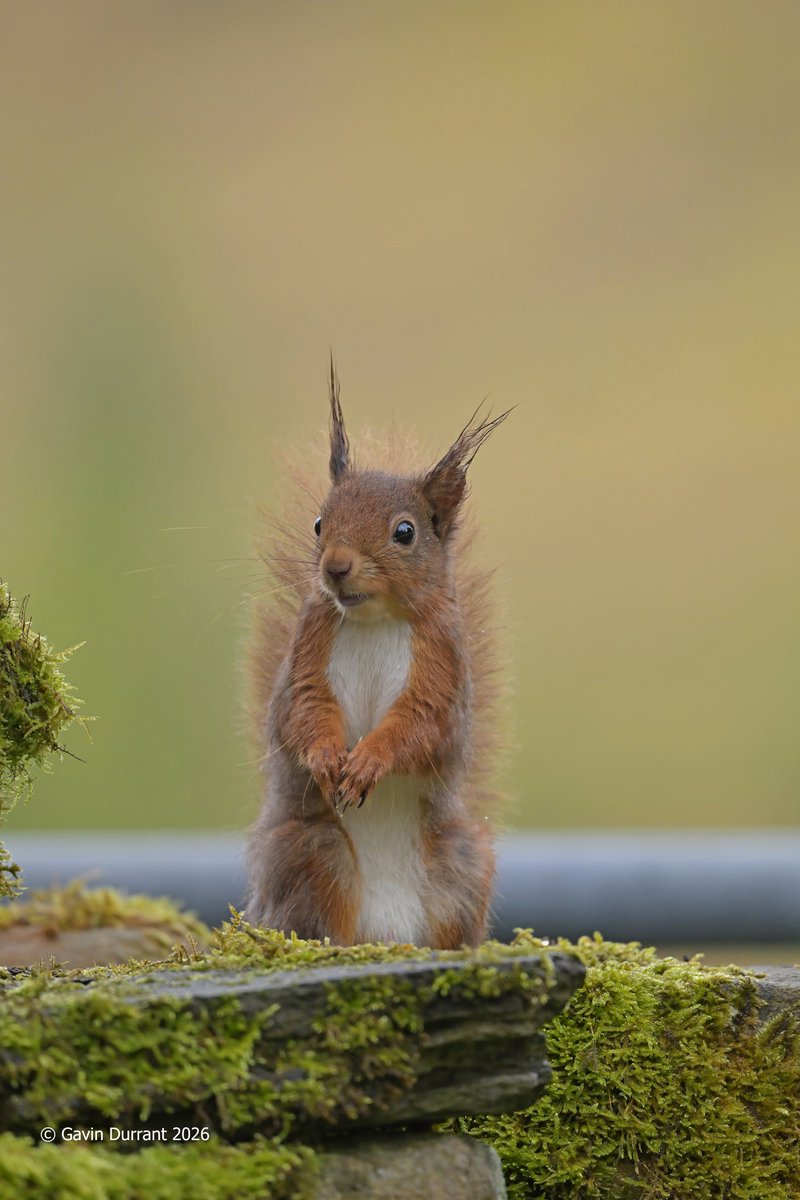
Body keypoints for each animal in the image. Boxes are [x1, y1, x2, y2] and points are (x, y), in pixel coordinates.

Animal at [244, 362, 509, 949]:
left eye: (404, 532)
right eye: (319, 523)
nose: (336, 566)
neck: (373, 619)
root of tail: (389, 933)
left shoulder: (441, 664)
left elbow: (421, 725)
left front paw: (369, 761)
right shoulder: (309, 649)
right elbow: (303, 710)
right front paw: (326, 757)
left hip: (463, 863)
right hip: (314, 855)